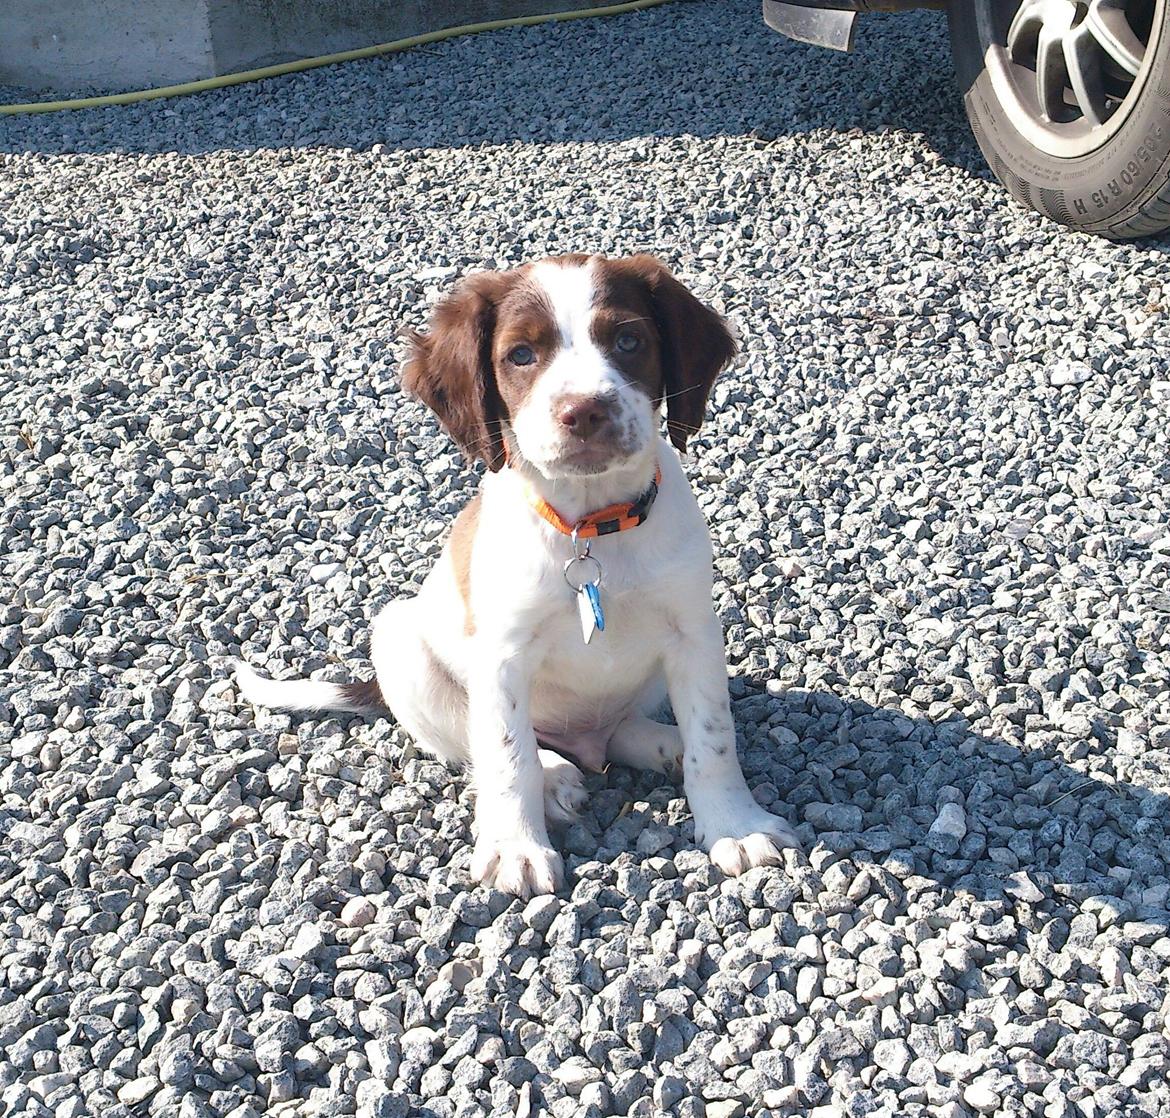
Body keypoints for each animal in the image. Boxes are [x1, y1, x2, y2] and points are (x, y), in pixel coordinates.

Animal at [237, 254, 804, 898]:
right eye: (522, 355)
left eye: (629, 341)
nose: (585, 410)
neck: (590, 525)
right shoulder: (502, 655)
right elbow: (508, 755)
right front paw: (515, 847)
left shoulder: (693, 633)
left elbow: (714, 735)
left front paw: (735, 825)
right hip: (400, 643)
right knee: (483, 744)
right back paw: (557, 774)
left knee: (619, 729)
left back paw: (662, 743)